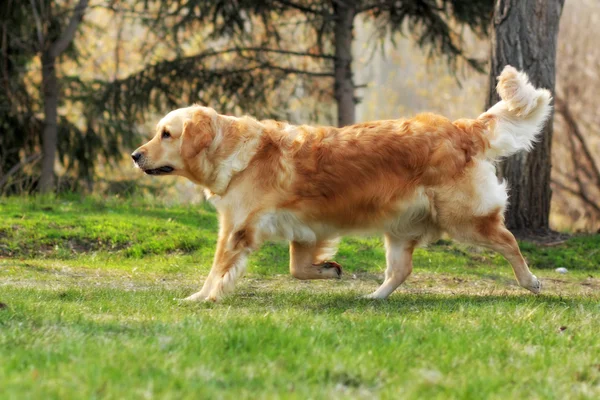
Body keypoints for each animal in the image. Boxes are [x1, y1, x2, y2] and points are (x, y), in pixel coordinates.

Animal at [132, 66, 552, 300]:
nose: (135, 155)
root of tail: (461, 128)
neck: (235, 150)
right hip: (400, 227)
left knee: (508, 240)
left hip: (463, 220)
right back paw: (373, 297)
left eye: (166, 134)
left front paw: (200, 298)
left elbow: (218, 268)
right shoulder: (305, 231)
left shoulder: (236, 228)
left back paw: (531, 281)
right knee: (400, 270)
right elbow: (297, 268)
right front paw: (329, 270)